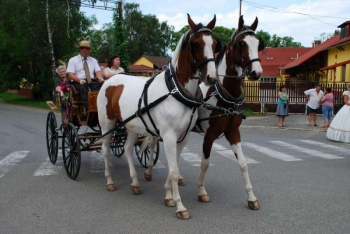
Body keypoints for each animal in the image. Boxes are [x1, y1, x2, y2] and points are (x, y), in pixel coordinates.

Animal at [97, 14, 220, 219]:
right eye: (196, 44)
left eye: (216, 44)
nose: (211, 77)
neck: (177, 90)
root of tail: (110, 80)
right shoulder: (169, 136)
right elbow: (174, 170)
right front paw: (180, 206)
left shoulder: (183, 137)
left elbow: (174, 167)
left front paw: (168, 196)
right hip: (107, 124)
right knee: (106, 150)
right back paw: (109, 181)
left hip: (132, 126)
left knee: (128, 149)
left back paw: (135, 183)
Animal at [196, 16, 264, 210]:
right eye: (241, 43)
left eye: (258, 43)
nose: (257, 72)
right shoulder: (209, 135)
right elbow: (205, 163)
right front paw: (202, 191)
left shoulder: (233, 132)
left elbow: (243, 163)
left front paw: (251, 197)